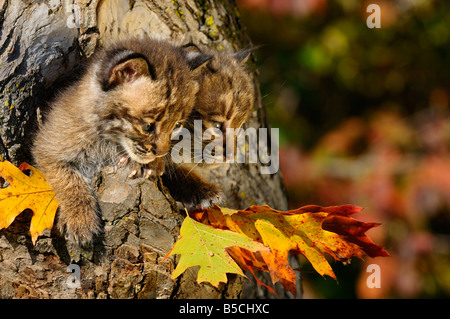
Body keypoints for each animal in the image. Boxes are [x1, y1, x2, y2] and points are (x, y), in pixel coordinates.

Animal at [32, 37, 212, 245]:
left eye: (177, 125)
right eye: (148, 126)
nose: (161, 152)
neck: (106, 139)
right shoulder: (46, 146)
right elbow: (68, 180)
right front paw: (80, 220)